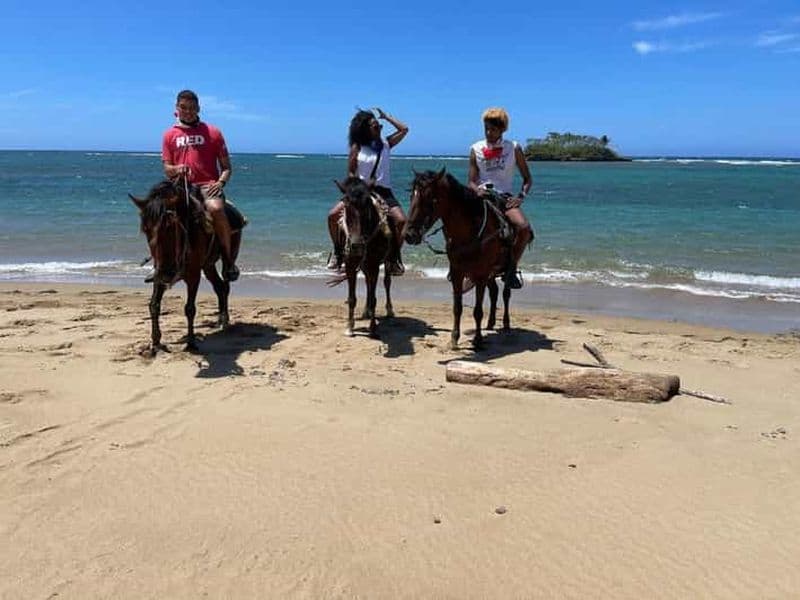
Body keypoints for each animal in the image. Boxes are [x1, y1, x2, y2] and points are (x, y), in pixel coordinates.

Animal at [129, 178, 245, 356]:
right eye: (146, 230)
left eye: (170, 226)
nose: (167, 272)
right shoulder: (159, 274)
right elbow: (154, 305)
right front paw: (155, 342)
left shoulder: (193, 275)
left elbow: (190, 308)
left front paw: (191, 342)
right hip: (208, 265)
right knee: (219, 287)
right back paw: (220, 319)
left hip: (227, 255)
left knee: (225, 283)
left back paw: (225, 320)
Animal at [329, 176, 394, 338]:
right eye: (346, 206)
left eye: (367, 208)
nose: (357, 246)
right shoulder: (350, 264)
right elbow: (352, 298)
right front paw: (349, 327)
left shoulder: (374, 264)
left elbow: (374, 298)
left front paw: (373, 329)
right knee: (368, 283)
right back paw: (366, 311)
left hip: (387, 262)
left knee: (386, 282)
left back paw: (389, 310)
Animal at [403, 168, 529, 350]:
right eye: (411, 196)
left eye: (429, 199)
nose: (409, 235)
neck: (468, 232)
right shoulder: (458, 272)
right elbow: (457, 307)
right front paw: (454, 339)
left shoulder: (481, 274)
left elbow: (477, 310)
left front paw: (478, 340)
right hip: (491, 273)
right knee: (494, 293)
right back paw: (490, 323)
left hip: (506, 268)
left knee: (506, 293)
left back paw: (506, 324)